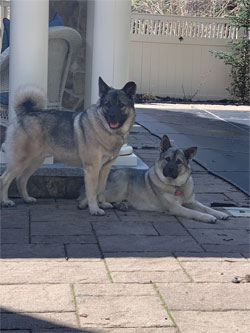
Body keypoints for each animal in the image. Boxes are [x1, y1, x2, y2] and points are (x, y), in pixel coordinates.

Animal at [0, 76, 137, 214]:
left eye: (121, 105)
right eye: (107, 104)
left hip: (35, 161)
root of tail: (25, 113)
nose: (112, 116)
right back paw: (5, 201)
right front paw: (94, 209)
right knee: (5, 179)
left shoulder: (104, 169)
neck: (105, 129)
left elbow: (101, 189)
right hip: (20, 161)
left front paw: (102, 204)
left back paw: (26, 198)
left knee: (21, 179)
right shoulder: (92, 168)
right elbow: (92, 191)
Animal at [78, 134, 229, 222]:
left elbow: (205, 207)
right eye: (167, 159)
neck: (176, 185)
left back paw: (122, 205)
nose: (170, 169)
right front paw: (208, 217)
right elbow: (194, 213)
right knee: (92, 196)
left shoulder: (191, 201)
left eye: (179, 162)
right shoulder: (175, 208)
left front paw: (218, 213)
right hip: (118, 189)